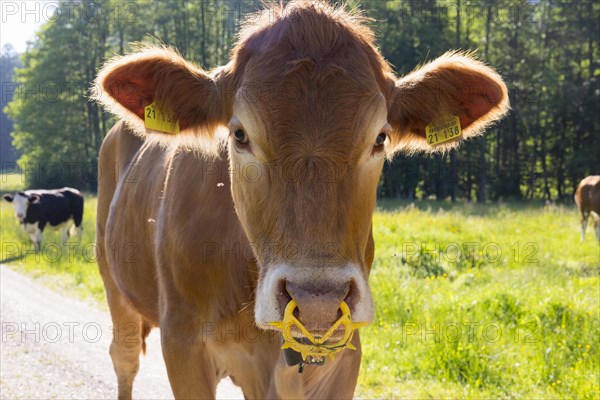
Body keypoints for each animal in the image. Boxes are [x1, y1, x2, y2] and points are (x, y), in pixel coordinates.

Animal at [92, 1, 506, 398]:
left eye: (380, 138)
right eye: (239, 135)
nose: (316, 302)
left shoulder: (342, 359)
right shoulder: (183, 343)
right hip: (114, 284)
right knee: (124, 359)